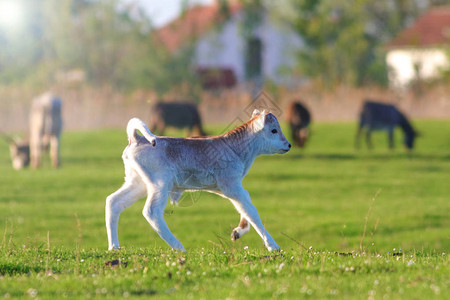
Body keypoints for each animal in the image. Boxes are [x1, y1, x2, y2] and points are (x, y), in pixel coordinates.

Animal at [107, 110, 294, 251]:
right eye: (274, 130)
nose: (288, 145)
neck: (236, 149)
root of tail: (136, 139)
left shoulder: (225, 188)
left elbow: (246, 203)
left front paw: (238, 232)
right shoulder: (231, 185)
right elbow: (252, 211)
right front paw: (273, 246)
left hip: (137, 183)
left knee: (113, 202)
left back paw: (114, 246)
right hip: (159, 184)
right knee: (151, 212)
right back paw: (179, 247)